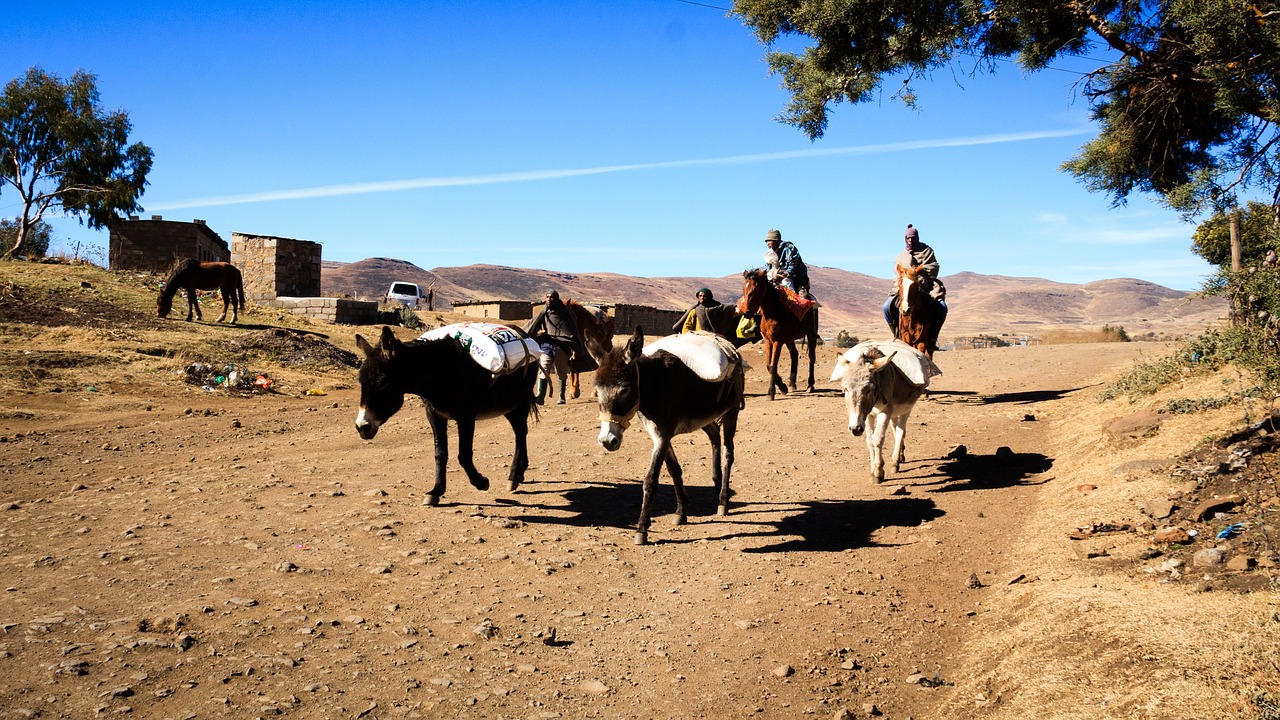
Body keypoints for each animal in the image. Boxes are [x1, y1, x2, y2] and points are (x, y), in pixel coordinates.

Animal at [353, 325, 537, 504]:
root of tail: (522, 332)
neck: (440, 372)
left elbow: (464, 455)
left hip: (520, 402)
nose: (362, 427)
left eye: (382, 382)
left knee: (520, 433)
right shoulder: (435, 415)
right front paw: (436, 491)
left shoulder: (466, 417)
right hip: (508, 407)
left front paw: (481, 482)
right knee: (520, 431)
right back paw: (520, 473)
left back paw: (513, 476)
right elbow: (440, 453)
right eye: (359, 381)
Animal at [593, 326, 747, 543]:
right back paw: (717, 485)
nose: (607, 441)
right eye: (596, 391)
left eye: (624, 390)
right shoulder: (658, 434)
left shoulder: (663, 436)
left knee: (728, 454)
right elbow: (674, 470)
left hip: (731, 411)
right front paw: (681, 512)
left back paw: (723, 500)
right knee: (715, 435)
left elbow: (651, 480)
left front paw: (642, 528)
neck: (656, 386)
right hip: (705, 417)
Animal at [742, 267, 819, 397]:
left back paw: (810, 385)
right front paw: (782, 387)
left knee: (811, 357)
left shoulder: (777, 342)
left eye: (756, 288)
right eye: (744, 288)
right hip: (789, 339)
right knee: (794, 354)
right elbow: (768, 365)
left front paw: (771, 392)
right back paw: (792, 383)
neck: (773, 313)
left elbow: (773, 366)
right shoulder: (768, 341)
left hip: (811, 335)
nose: (746, 312)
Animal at [824, 340, 936, 481]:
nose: (855, 429)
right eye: (845, 389)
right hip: (894, 413)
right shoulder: (868, 415)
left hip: (906, 410)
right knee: (896, 429)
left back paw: (895, 462)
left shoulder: (885, 412)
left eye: (869, 389)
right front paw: (873, 469)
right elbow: (869, 441)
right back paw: (900, 455)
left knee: (901, 432)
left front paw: (878, 471)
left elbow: (877, 439)